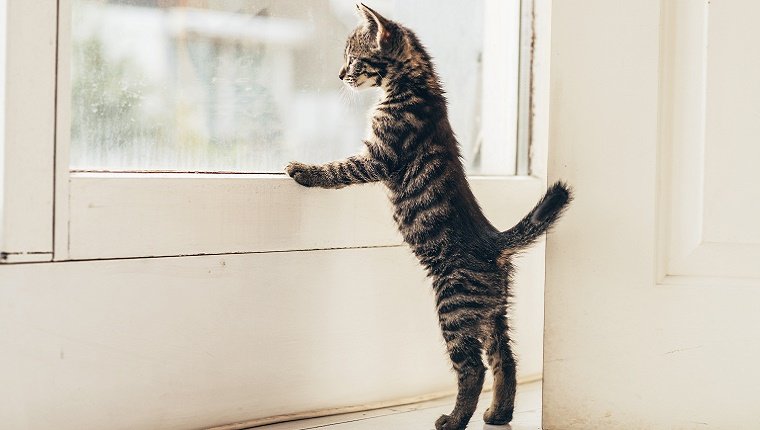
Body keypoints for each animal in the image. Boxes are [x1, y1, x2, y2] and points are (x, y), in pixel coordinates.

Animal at [284, 4, 568, 430]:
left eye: (353, 58)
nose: (339, 74)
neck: (418, 84)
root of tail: (495, 243)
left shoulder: (379, 156)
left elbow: (339, 170)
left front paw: (304, 170)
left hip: (454, 307)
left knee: (473, 369)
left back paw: (454, 419)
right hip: (493, 313)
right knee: (506, 360)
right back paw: (499, 413)